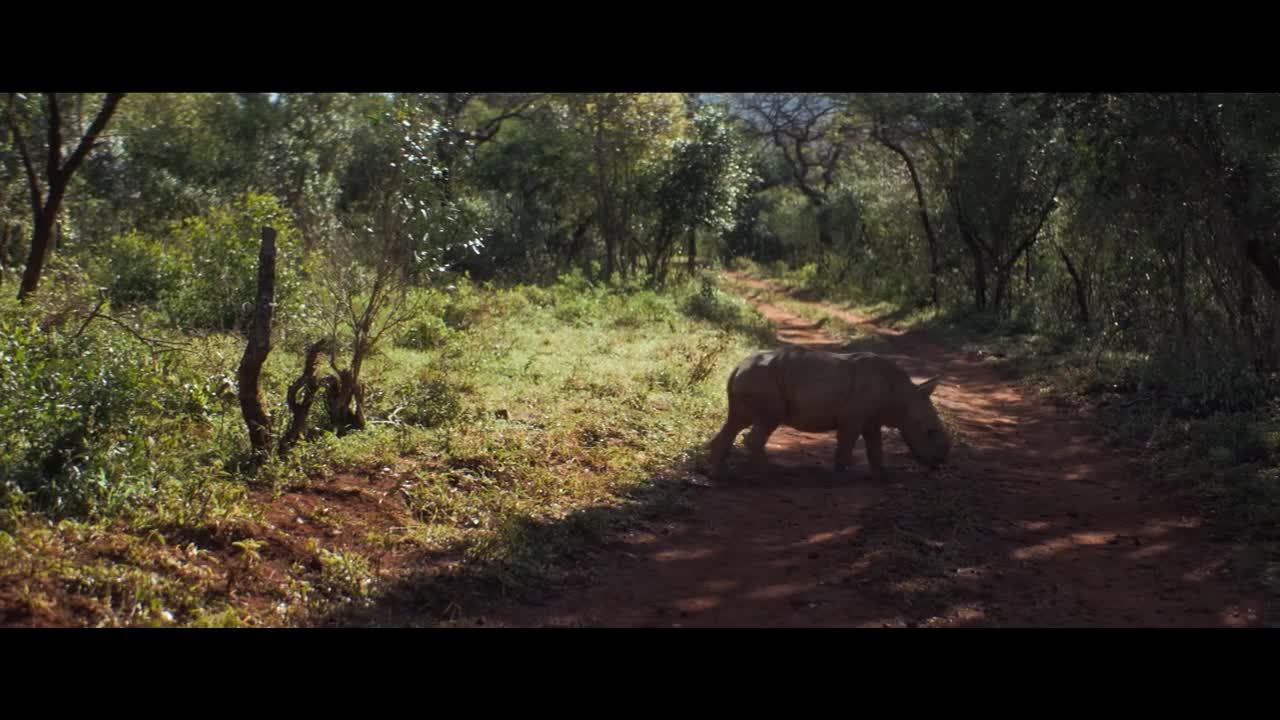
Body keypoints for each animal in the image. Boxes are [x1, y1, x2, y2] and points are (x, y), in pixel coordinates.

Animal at [711, 345, 952, 479]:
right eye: (930, 432)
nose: (940, 462)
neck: (904, 396)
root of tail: (737, 367)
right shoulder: (853, 418)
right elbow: (847, 442)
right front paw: (842, 474)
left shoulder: (871, 419)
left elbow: (875, 446)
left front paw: (883, 474)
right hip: (762, 379)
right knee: (767, 420)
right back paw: (772, 472)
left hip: (753, 377)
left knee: (736, 421)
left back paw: (720, 474)